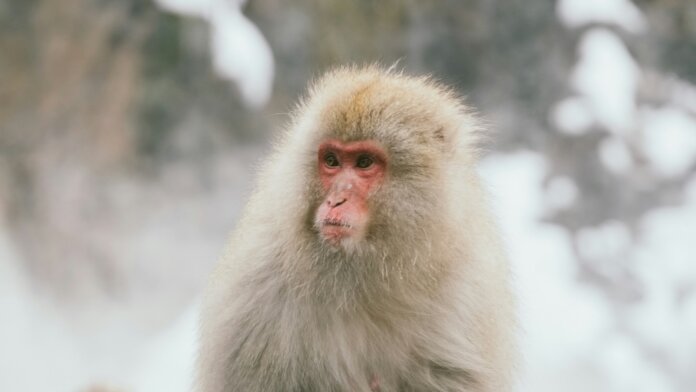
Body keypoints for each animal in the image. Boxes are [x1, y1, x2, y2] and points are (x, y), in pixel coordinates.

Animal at [196, 66, 516, 390]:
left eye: (364, 162)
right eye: (331, 161)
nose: (336, 200)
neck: (362, 276)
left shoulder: (466, 292)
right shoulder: (256, 287)